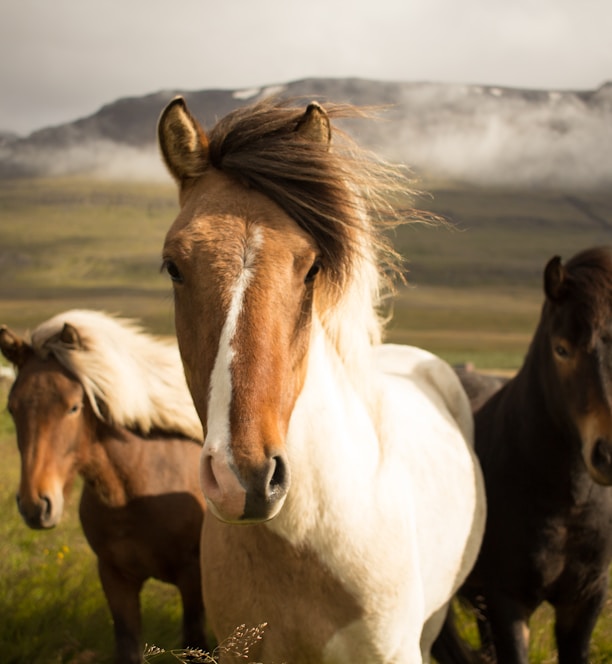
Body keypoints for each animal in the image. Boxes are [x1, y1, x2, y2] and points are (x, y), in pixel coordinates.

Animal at [0, 310, 207, 664]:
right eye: (12, 408)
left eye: (73, 407)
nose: (35, 505)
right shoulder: (115, 578)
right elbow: (127, 646)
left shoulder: (192, 578)